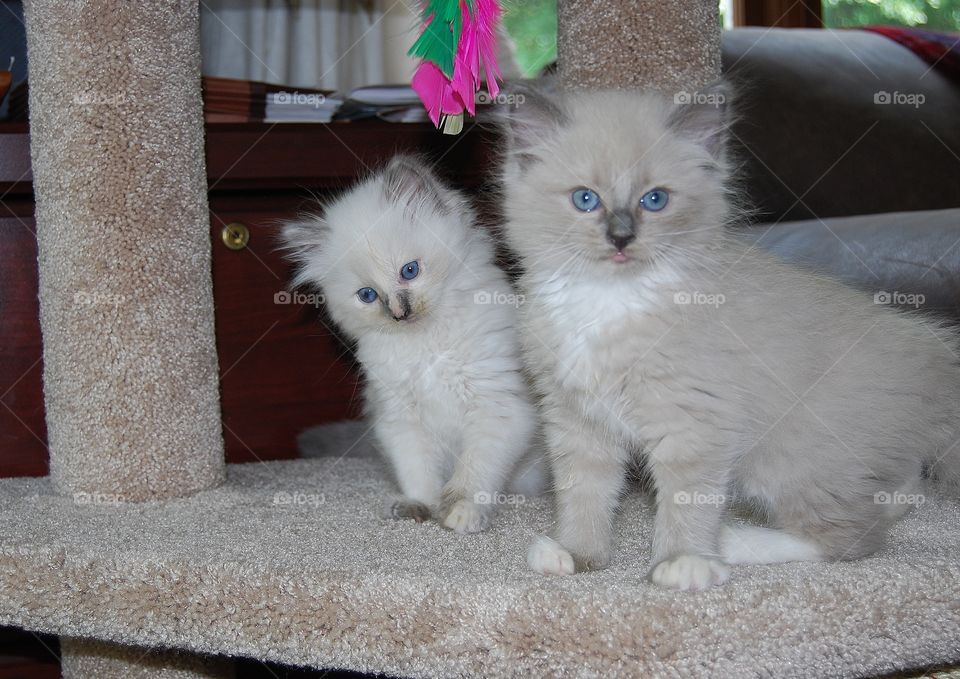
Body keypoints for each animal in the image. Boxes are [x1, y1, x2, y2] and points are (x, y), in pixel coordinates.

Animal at [282, 157, 544, 532]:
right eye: (368, 295)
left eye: (409, 271)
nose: (399, 313)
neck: (426, 344)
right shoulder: (400, 418)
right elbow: (418, 472)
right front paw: (421, 506)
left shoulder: (498, 407)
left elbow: (474, 472)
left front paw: (460, 512)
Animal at [498, 86, 960, 588]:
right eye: (586, 199)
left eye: (654, 200)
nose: (621, 238)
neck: (608, 301)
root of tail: (933, 359)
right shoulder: (577, 419)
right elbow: (584, 492)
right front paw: (578, 555)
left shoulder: (694, 423)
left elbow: (685, 502)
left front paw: (681, 562)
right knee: (891, 498)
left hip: (791, 462)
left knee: (852, 538)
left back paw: (734, 544)